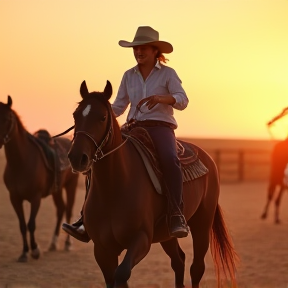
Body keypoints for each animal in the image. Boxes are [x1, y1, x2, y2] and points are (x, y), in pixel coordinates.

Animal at [0, 95, 79, 262]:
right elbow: (22, 225)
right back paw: (53, 243)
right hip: (57, 190)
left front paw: (35, 250)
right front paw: (24, 252)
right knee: (61, 209)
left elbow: (31, 224)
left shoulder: (35, 198)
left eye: (7, 118)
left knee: (68, 210)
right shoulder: (14, 198)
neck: (21, 161)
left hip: (71, 185)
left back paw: (67, 244)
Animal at [67, 80, 238, 288]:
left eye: (102, 117)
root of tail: (209, 159)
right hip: (167, 234)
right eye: (75, 115)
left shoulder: (141, 239)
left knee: (196, 268)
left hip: (202, 225)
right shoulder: (102, 249)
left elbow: (121, 274)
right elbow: (113, 278)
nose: (77, 157)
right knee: (178, 261)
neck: (114, 188)